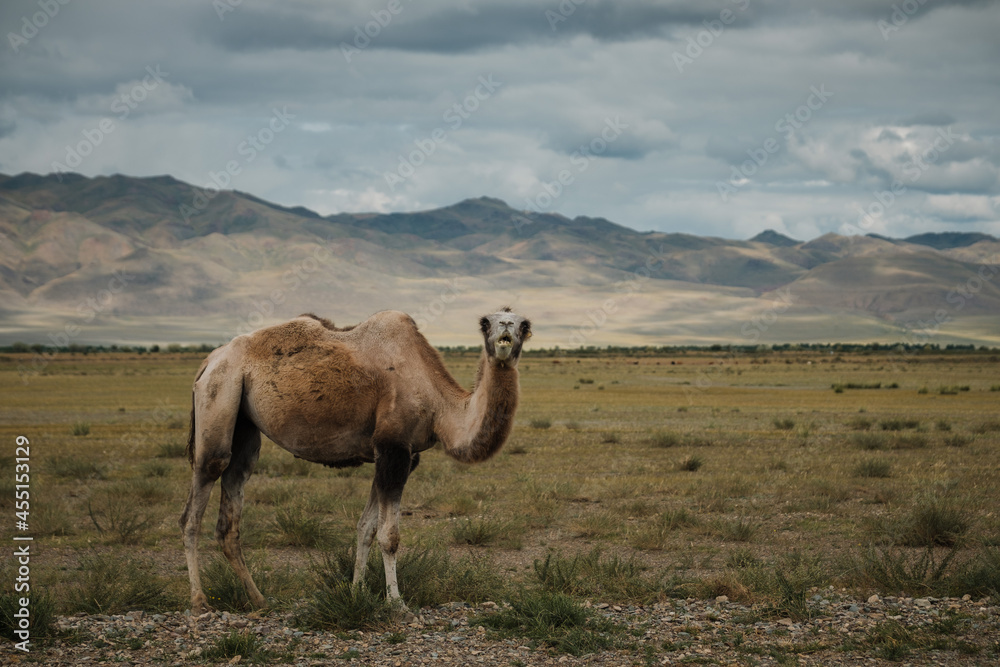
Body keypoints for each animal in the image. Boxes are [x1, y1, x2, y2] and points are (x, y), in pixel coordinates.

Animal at [179, 308, 531, 614]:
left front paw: (356, 593)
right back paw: (199, 601)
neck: (438, 405)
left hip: (245, 425)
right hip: (219, 394)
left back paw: (258, 599)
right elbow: (389, 536)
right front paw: (397, 604)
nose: (505, 330)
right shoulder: (393, 448)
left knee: (232, 499)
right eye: (486, 322)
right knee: (199, 494)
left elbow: (366, 528)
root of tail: (209, 360)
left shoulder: (400, 456)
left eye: (523, 324)